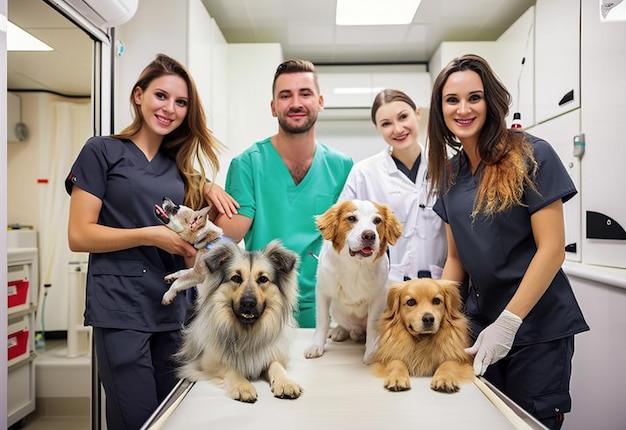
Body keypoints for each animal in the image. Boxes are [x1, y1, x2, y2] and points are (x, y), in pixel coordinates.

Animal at [176, 240, 302, 402]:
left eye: (263, 279)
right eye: (236, 278)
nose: (248, 303)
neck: (247, 333)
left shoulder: (272, 356)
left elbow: (276, 365)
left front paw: (285, 383)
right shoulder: (204, 364)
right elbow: (229, 368)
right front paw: (243, 386)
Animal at [304, 198, 402, 362]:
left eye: (377, 221)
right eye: (351, 218)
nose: (369, 235)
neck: (356, 266)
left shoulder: (379, 297)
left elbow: (372, 325)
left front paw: (371, 353)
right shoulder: (323, 292)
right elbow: (322, 322)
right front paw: (315, 346)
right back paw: (340, 331)